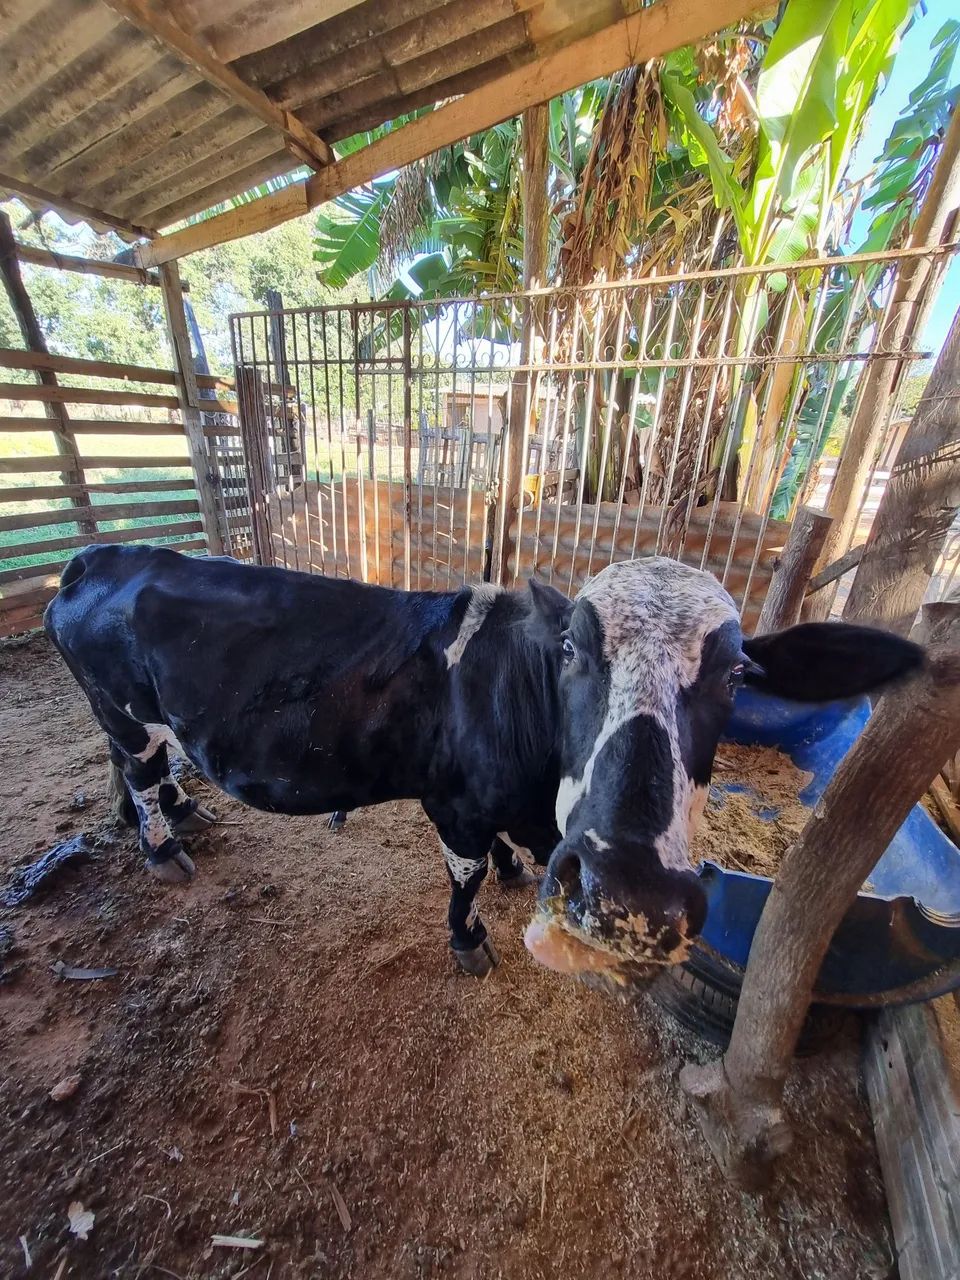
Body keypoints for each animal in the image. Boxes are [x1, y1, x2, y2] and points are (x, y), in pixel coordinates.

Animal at [44, 544, 922, 981]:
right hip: (124, 711)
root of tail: (106, 554)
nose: (629, 896)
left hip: (126, 716)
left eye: (739, 676)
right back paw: (162, 847)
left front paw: (510, 871)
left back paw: (178, 813)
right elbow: (462, 876)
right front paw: (468, 938)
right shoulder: (454, 803)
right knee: (138, 772)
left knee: (137, 771)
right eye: (570, 649)